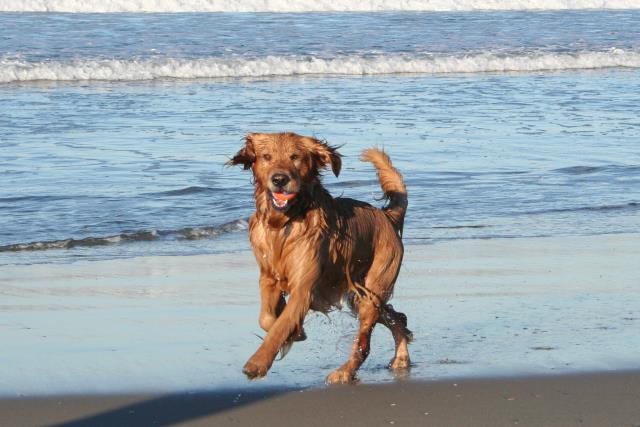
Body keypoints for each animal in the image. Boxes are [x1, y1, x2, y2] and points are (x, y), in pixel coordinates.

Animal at [228, 131, 412, 384]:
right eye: (266, 157)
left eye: (295, 157)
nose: (279, 179)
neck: (284, 225)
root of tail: (387, 216)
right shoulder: (268, 277)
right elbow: (266, 319)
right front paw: (296, 332)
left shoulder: (303, 288)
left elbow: (279, 327)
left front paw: (257, 363)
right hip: (360, 293)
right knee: (398, 317)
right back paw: (401, 358)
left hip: (373, 288)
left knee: (364, 344)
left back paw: (344, 372)